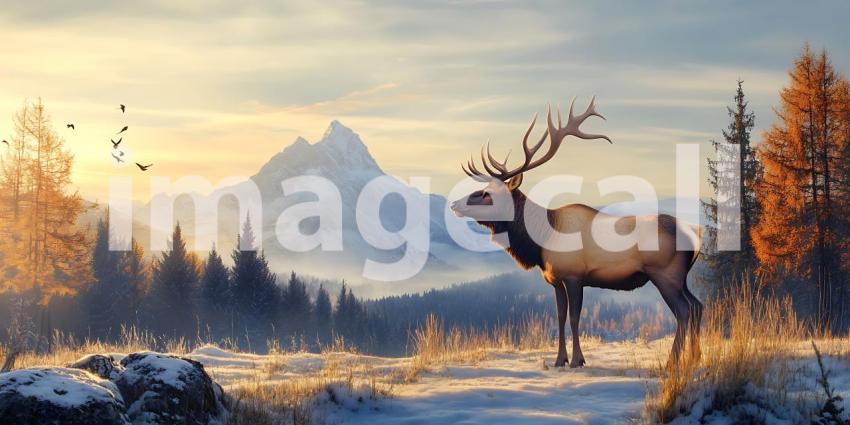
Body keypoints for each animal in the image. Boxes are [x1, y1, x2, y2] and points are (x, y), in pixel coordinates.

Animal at [450, 97, 703, 368]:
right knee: (697, 306)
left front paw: (577, 360)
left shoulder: (574, 275)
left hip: (664, 274)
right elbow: (560, 316)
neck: (540, 242)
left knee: (684, 311)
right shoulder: (554, 278)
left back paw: (673, 361)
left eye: (486, 194)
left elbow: (574, 317)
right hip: (681, 277)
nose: (454, 204)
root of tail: (696, 236)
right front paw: (559, 360)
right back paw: (695, 357)